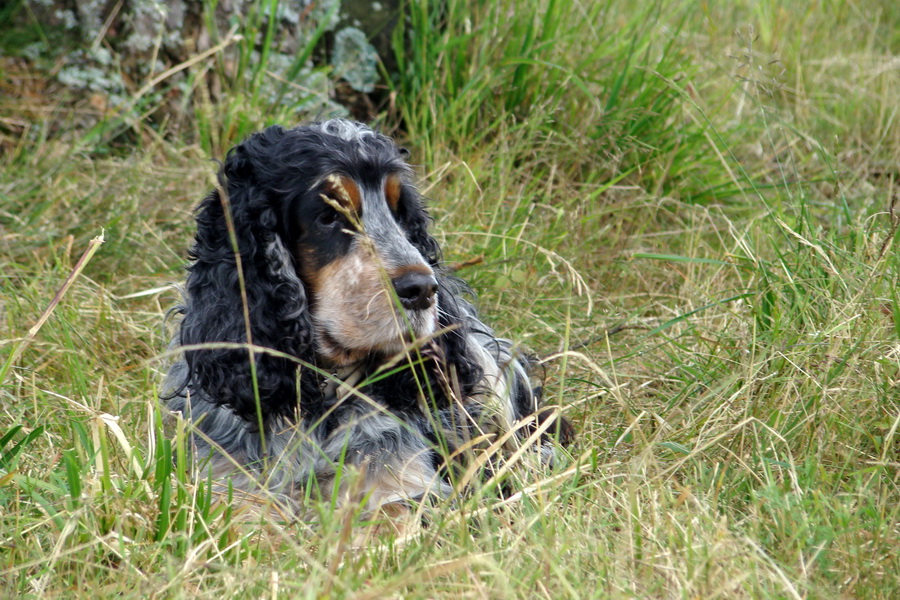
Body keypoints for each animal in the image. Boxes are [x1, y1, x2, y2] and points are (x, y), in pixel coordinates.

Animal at [162, 119, 568, 512]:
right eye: (328, 216)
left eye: (401, 214)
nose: (423, 289)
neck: (321, 401)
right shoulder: (227, 486)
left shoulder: (404, 485)